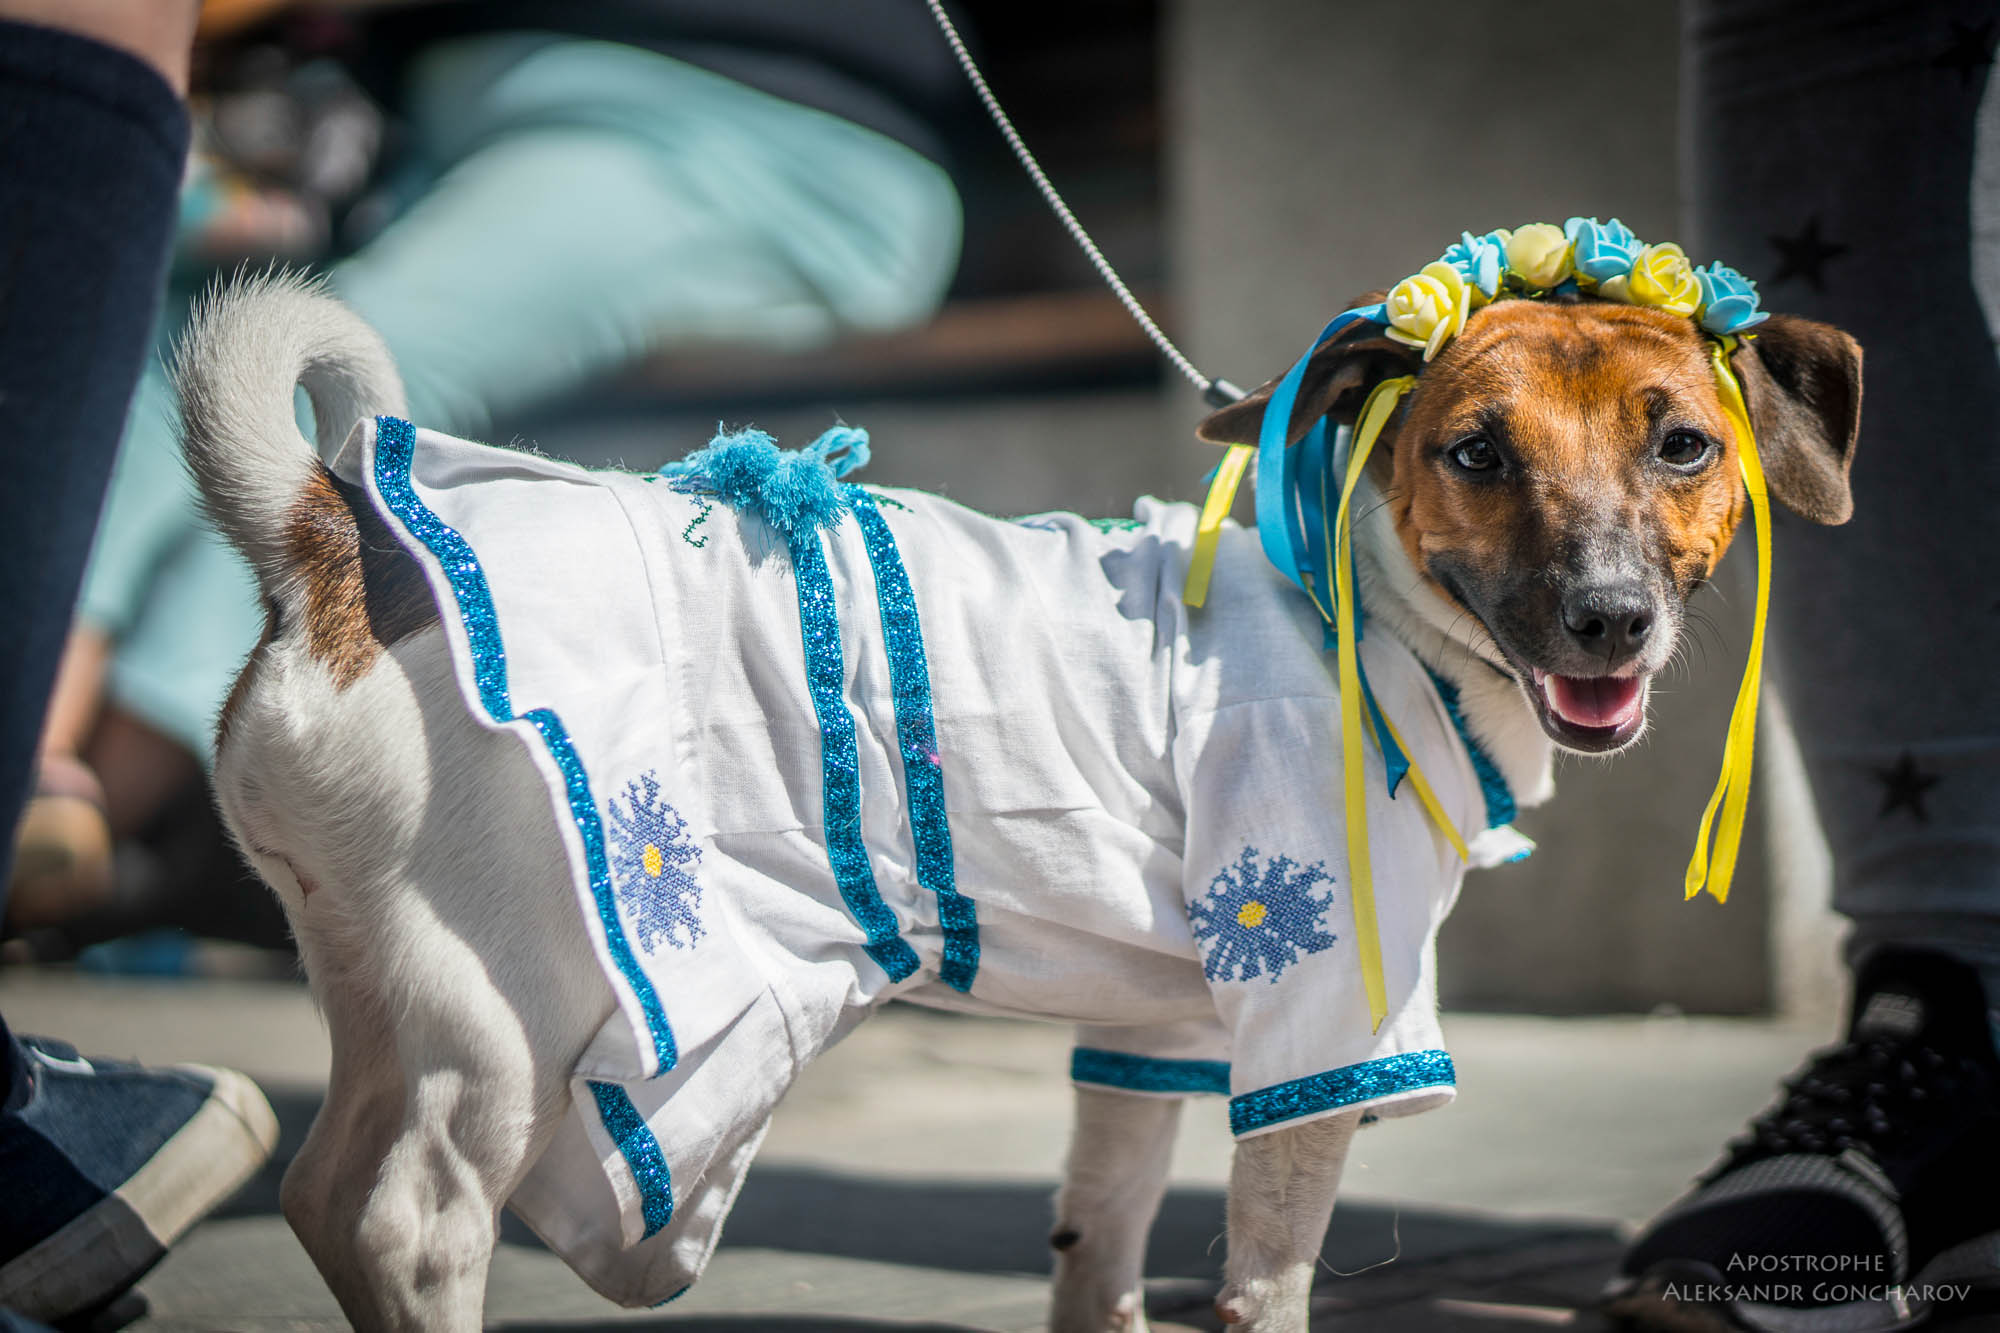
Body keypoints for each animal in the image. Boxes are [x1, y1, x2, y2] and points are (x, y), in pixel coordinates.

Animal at [172, 264, 1856, 1320]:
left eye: (1683, 444)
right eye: (1475, 453)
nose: (1610, 619)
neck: (1362, 603)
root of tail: (331, 545)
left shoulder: (1154, 1035)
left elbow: (1096, 1242)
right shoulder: (1317, 1007)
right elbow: (1270, 1268)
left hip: (389, 994)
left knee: (323, 1194)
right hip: (507, 1024)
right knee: (410, 1224)